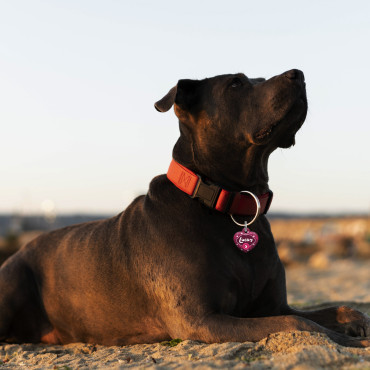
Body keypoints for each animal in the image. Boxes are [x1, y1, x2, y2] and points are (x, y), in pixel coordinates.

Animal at [0, 70, 370, 346]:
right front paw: (353, 342)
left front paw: (356, 322)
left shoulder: (272, 305)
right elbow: (300, 325)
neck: (231, 204)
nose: (299, 74)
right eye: (236, 83)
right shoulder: (202, 319)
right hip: (13, 283)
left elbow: (331, 311)